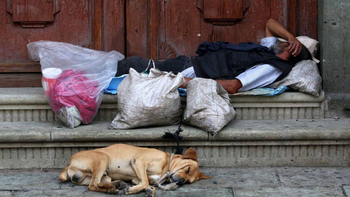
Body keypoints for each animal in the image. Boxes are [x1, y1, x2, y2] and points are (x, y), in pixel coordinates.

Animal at [59, 144, 211, 196]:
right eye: (188, 169)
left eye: (188, 181)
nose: (180, 183)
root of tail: (69, 163)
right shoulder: (139, 162)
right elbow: (144, 182)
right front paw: (132, 190)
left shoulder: (137, 178)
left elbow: (147, 184)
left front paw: (150, 191)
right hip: (102, 158)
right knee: (93, 185)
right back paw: (115, 188)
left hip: (104, 175)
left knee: (97, 183)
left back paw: (115, 186)